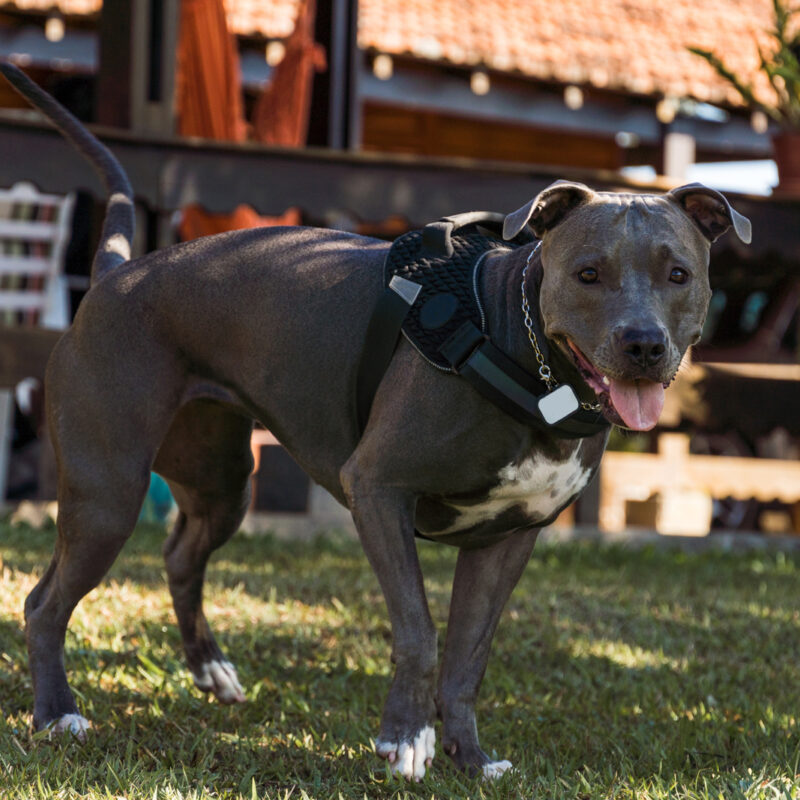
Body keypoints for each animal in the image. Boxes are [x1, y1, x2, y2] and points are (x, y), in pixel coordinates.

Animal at [3, 64, 752, 780]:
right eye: (589, 273)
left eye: (678, 274)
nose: (643, 343)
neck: (521, 348)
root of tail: (113, 276)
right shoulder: (377, 489)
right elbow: (419, 632)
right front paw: (406, 741)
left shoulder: (507, 540)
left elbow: (468, 659)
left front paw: (470, 757)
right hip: (108, 493)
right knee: (45, 602)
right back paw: (57, 714)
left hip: (222, 481)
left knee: (182, 556)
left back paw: (210, 670)